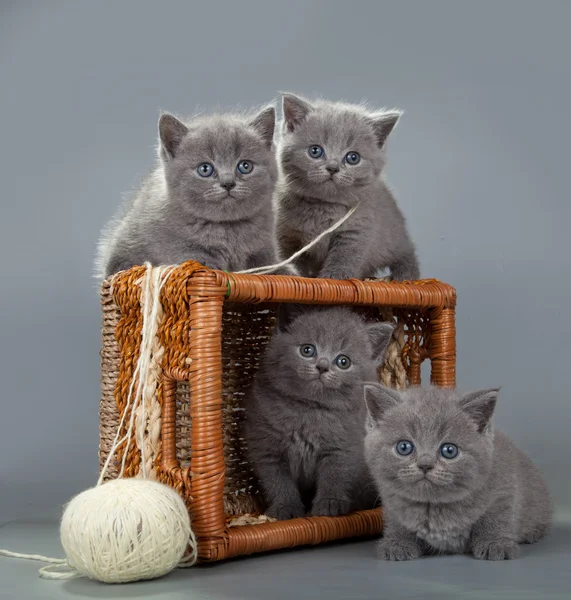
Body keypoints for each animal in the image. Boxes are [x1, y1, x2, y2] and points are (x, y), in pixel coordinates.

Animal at [95, 106, 288, 278]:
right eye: (205, 169)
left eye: (245, 166)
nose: (228, 183)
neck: (227, 229)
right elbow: (186, 254)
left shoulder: (266, 250)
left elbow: (271, 266)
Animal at [244, 308, 396, 516]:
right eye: (307, 350)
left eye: (343, 361)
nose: (322, 366)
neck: (308, 409)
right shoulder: (266, 448)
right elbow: (277, 481)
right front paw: (285, 507)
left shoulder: (343, 449)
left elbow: (334, 476)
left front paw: (329, 505)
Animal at [276, 93, 420, 282]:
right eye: (315, 151)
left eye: (353, 157)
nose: (333, 167)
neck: (324, 206)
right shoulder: (286, 234)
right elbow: (288, 256)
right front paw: (295, 274)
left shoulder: (357, 230)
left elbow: (345, 257)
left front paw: (334, 278)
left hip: (394, 235)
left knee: (407, 251)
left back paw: (405, 275)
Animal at [364, 384, 552, 564]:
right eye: (404, 447)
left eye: (449, 450)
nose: (425, 465)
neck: (434, 504)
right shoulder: (392, 500)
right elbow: (398, 522)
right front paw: (398, 543)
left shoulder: (504, 486)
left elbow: (496, 517)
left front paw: (495, 543)